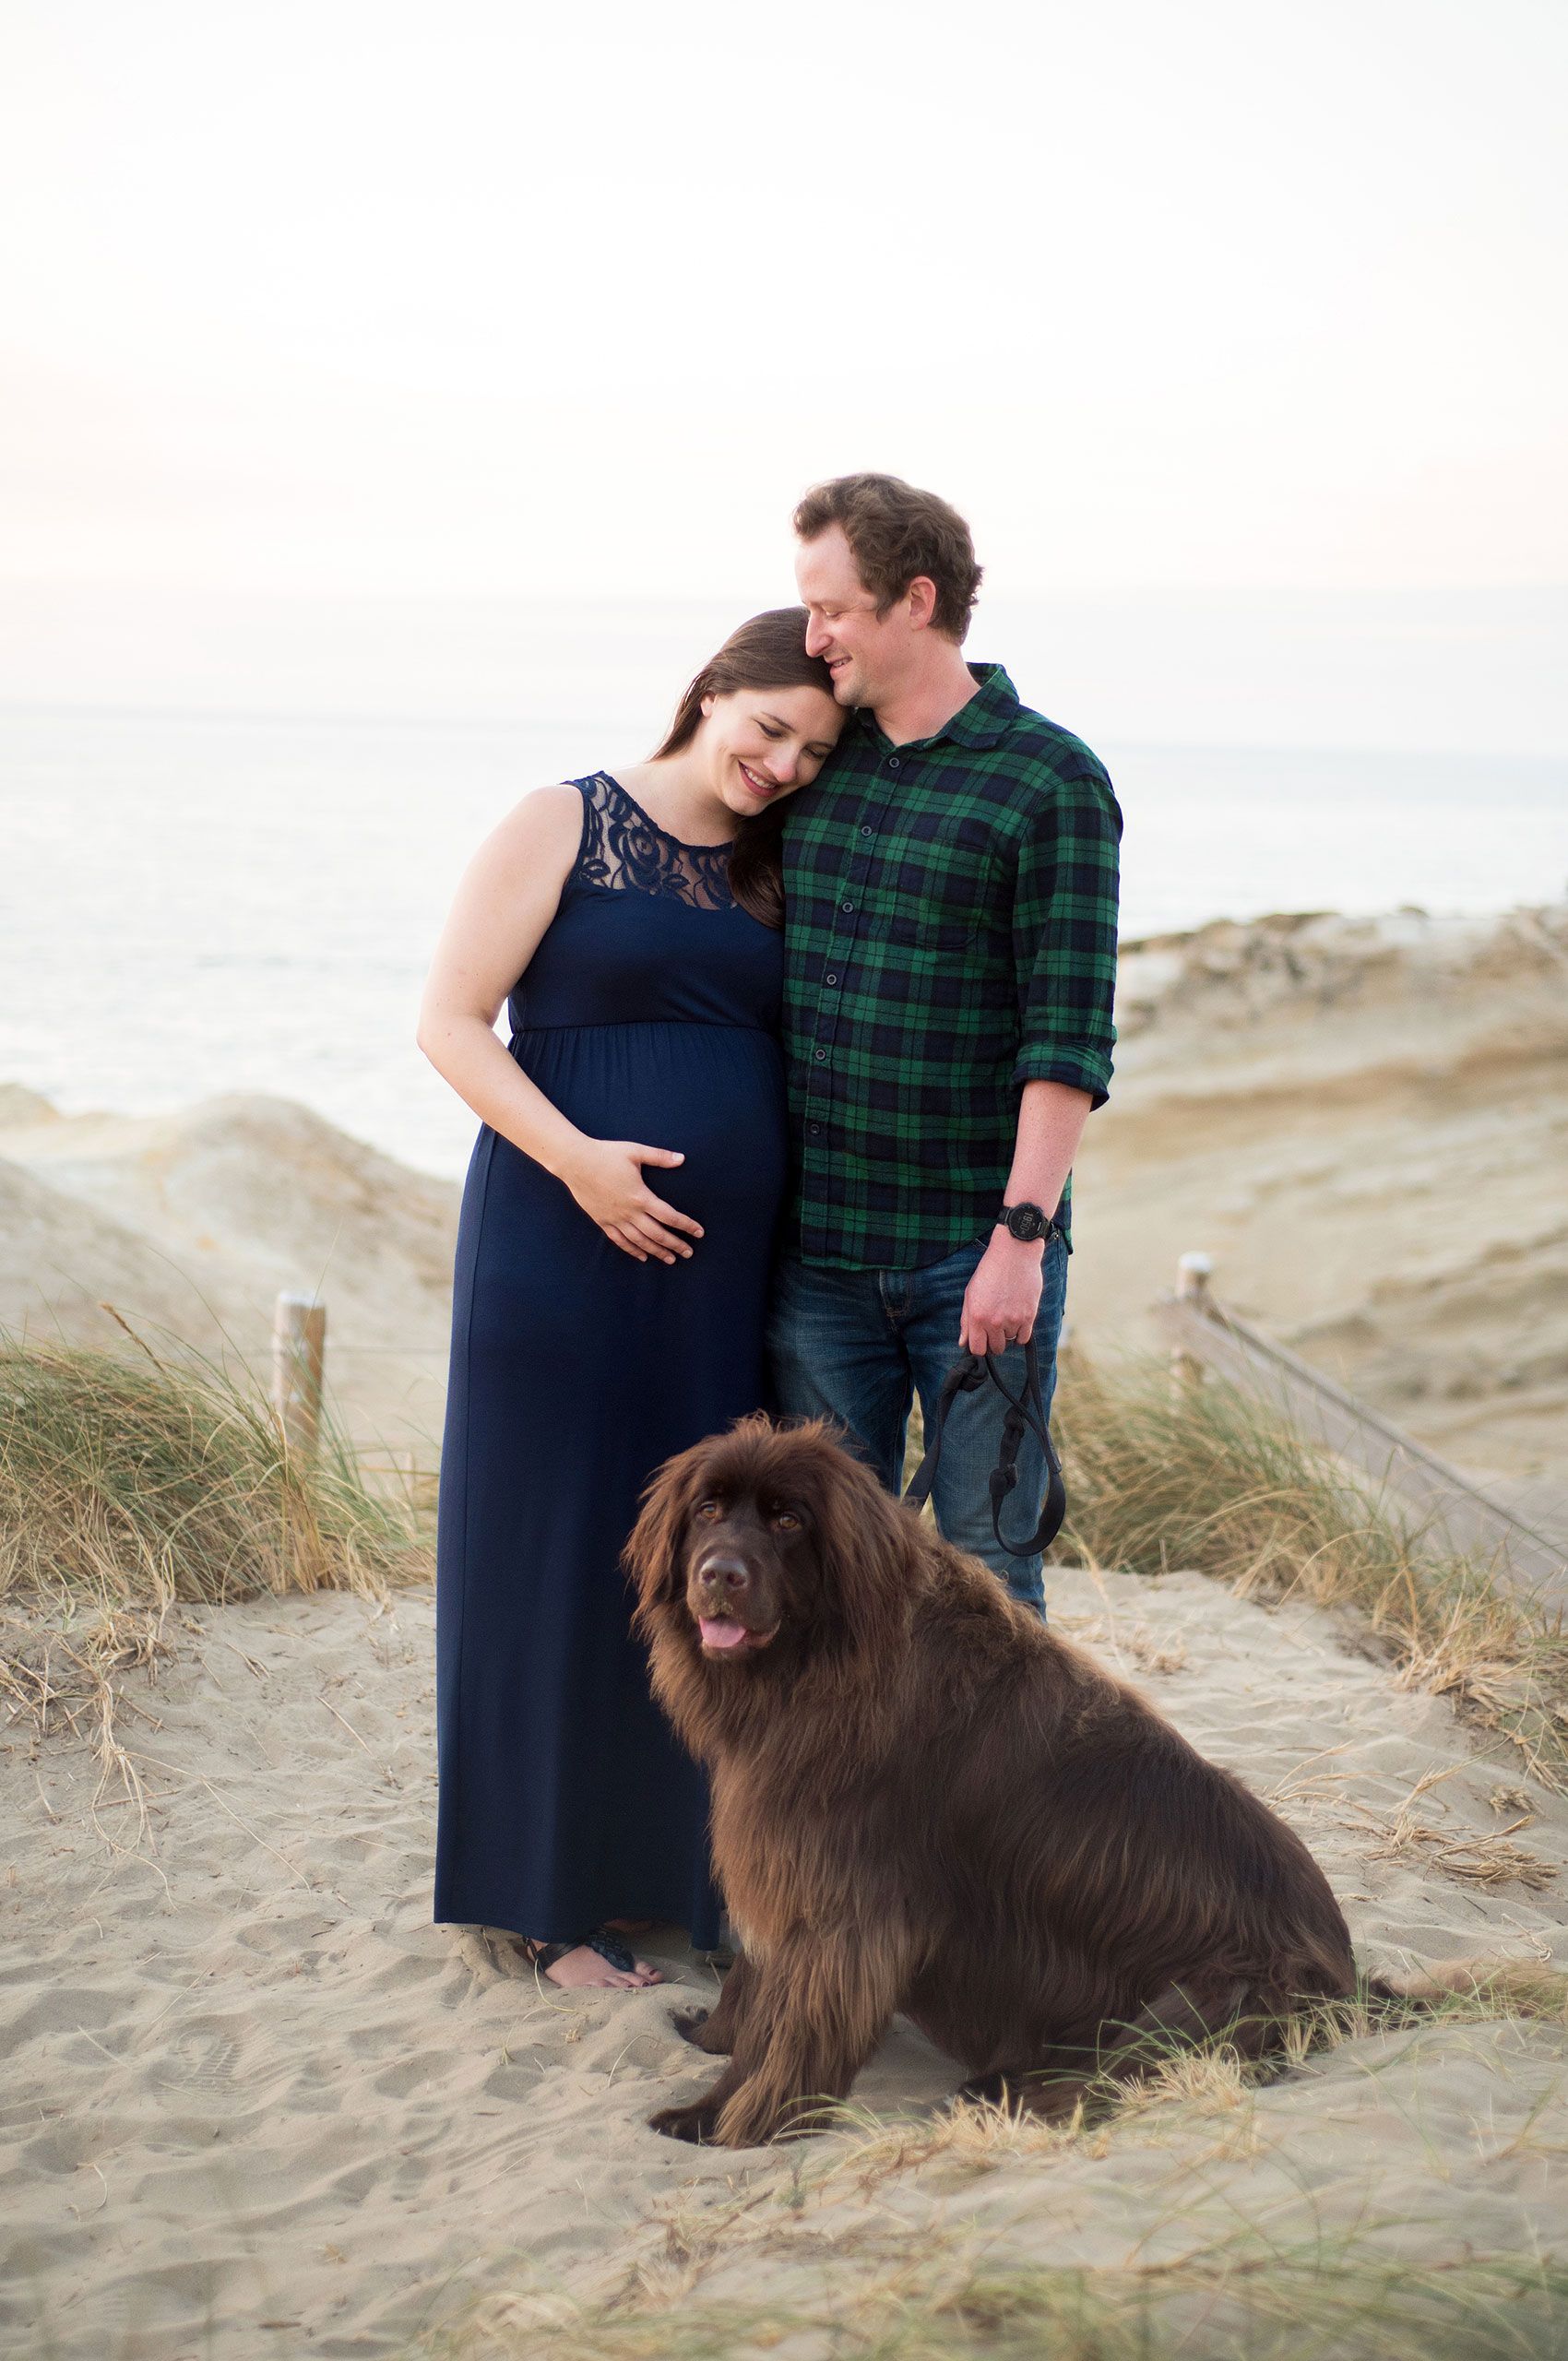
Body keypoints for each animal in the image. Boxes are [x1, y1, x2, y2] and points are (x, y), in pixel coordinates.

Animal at [628, 1406, 1360, 2153]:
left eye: (788, 1520)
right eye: (708, 1509)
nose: (719, 1575)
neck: (820, 1660)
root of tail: (1350, 1980)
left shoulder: (842, 1897)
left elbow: (787, 2026)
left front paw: (734, 2119)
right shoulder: (787, 1859)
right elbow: (755, 1989)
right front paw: (711, 2048)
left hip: (1211, 1995)